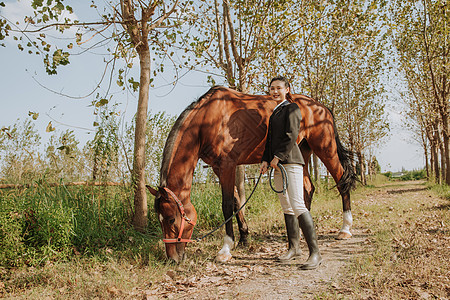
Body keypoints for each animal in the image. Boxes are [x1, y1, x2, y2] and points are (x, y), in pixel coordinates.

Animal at [149, 86, 356, 262]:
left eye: (171, 219)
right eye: (159, 220)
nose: (172, 259)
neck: (207, 121)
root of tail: (321, 107)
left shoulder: (227, 166)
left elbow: (227, 205)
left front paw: (225, 249)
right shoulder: (219, 168)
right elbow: (236, 201)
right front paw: (244, 238)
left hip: (325, 148)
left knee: (341, 182)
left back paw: (345, 229)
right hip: (301, 153)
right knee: (307, 188)